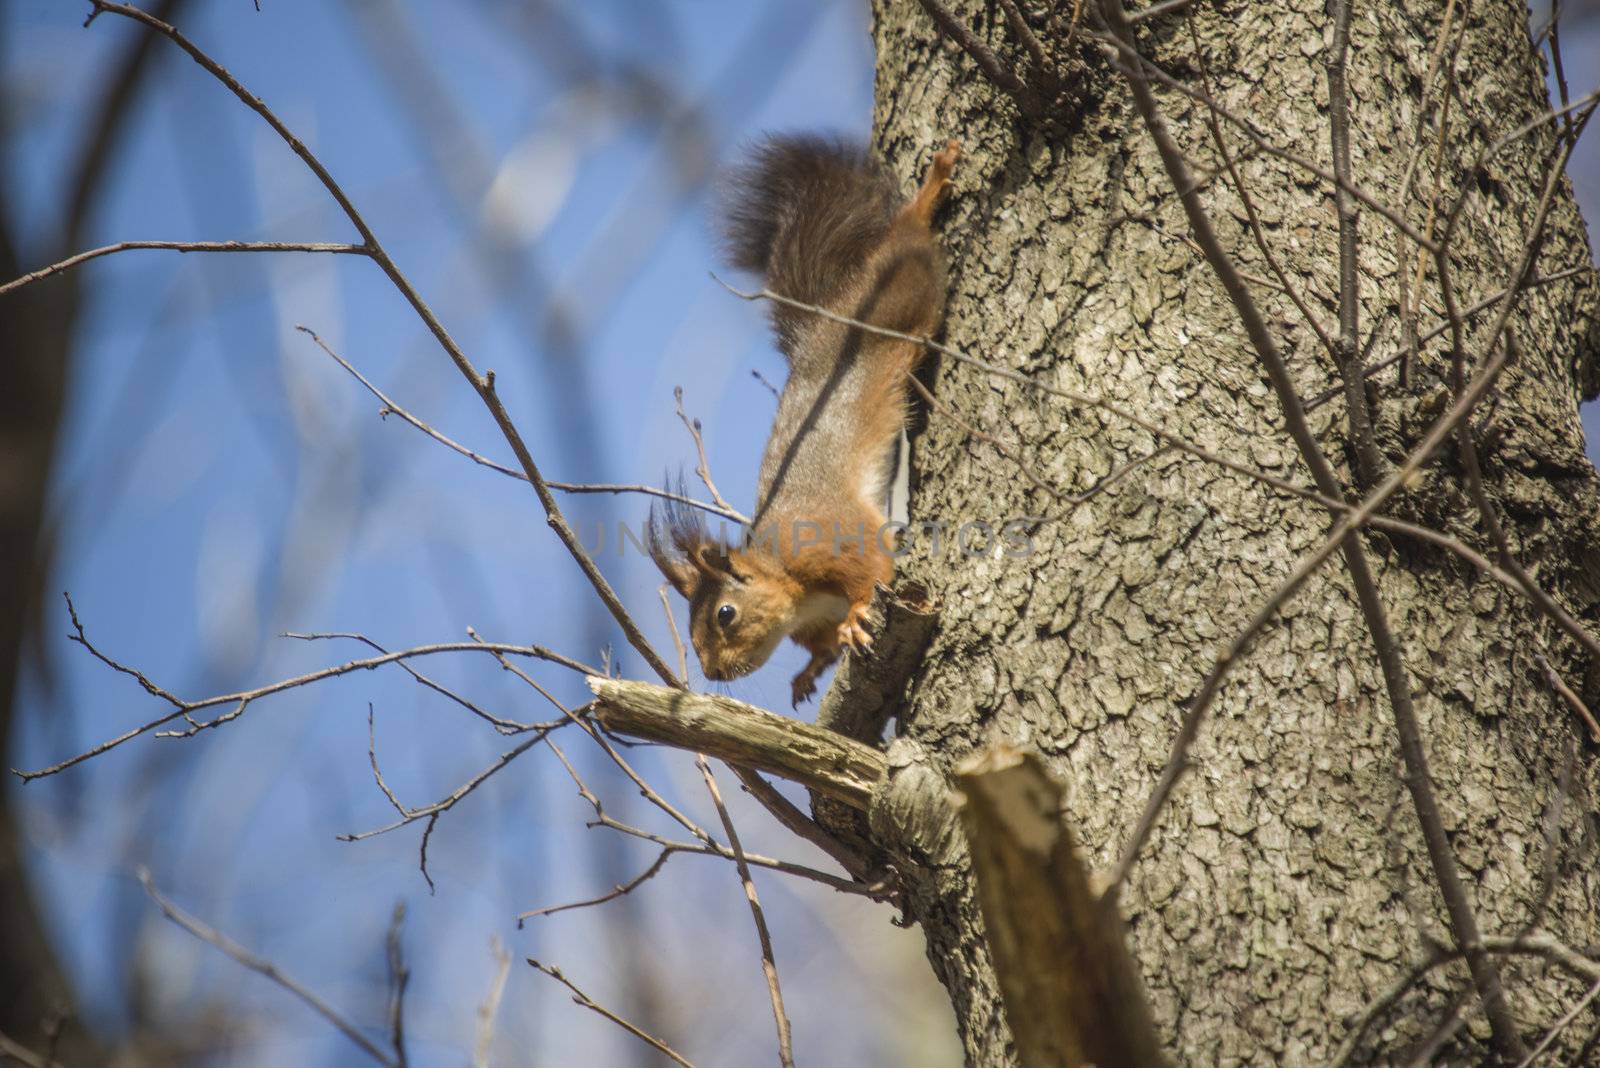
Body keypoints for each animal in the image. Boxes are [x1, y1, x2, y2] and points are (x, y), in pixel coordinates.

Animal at [649, 137, 960, 709]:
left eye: (725, 614)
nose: (714, 670)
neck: (794, 589)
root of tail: (826, 317)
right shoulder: (811, 621)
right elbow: (821, 647)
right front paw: (809, 671)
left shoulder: (829, 541)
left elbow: (874, 568)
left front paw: (858, 617)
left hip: (903, 295)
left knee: (909, 242)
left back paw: (929, 191)